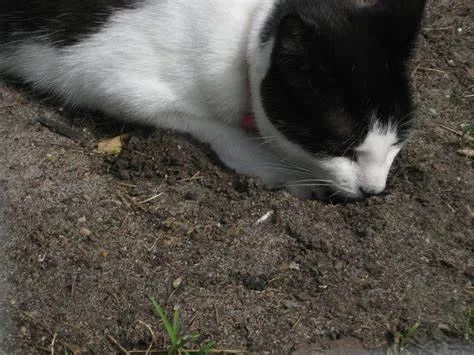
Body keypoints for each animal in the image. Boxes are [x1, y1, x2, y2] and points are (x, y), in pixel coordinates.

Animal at [0, 0, 428, 200]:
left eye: (396, 141)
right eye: (342, 144)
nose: (374, 190)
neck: (247, 31)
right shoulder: (103, 77)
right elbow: (210, 125)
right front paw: (287, 172)